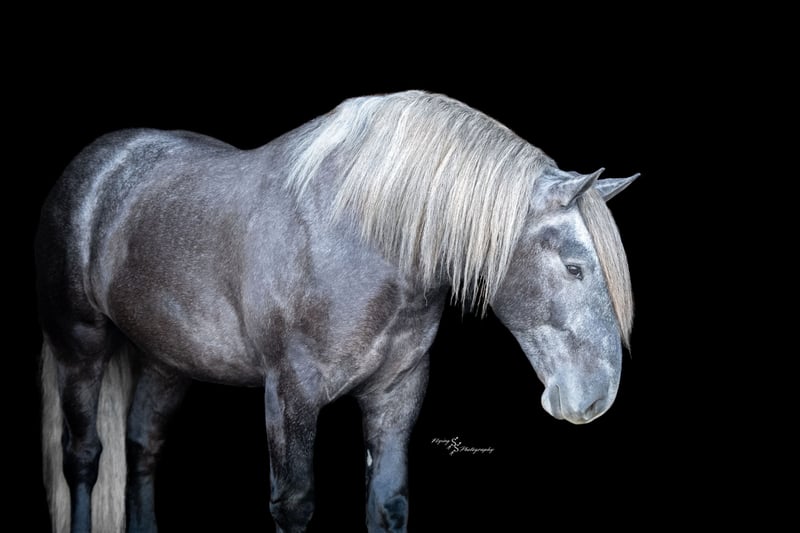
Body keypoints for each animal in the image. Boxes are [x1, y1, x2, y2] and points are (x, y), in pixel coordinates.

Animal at [36, 90, 638, 532]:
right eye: (575, 268)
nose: (596, 398)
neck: (359, 237)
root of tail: (98, 166)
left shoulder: (395, 394)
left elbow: (388, 503)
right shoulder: (291, 393)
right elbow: (294, 503)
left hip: (168, 362)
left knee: (142, 448)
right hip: (80, 345)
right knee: (83, 457)